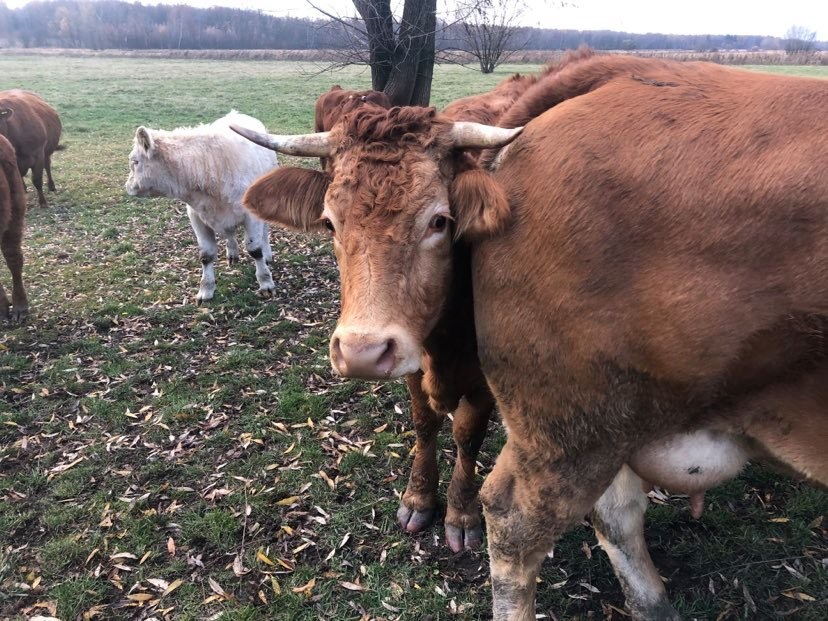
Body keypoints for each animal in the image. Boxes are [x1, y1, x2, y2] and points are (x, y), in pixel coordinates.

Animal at [124, 112, 276, 306]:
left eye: (135, 162)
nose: (128, 186)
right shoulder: (196, 217)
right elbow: (206, 255)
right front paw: (205, 290)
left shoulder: (251, 215)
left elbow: (254, 249)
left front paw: (265, 282)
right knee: (229, 233)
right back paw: (232, 253)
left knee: (263, 232)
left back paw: (267, 254)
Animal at [230, 54, 828, 620]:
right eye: (330, 223)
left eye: (440, 221)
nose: (359, 352)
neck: (444, 339)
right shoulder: (415, 359)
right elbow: (425, 422)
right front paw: (420, 497)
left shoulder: (481, 380)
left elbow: (467, 432)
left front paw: (460, 512)